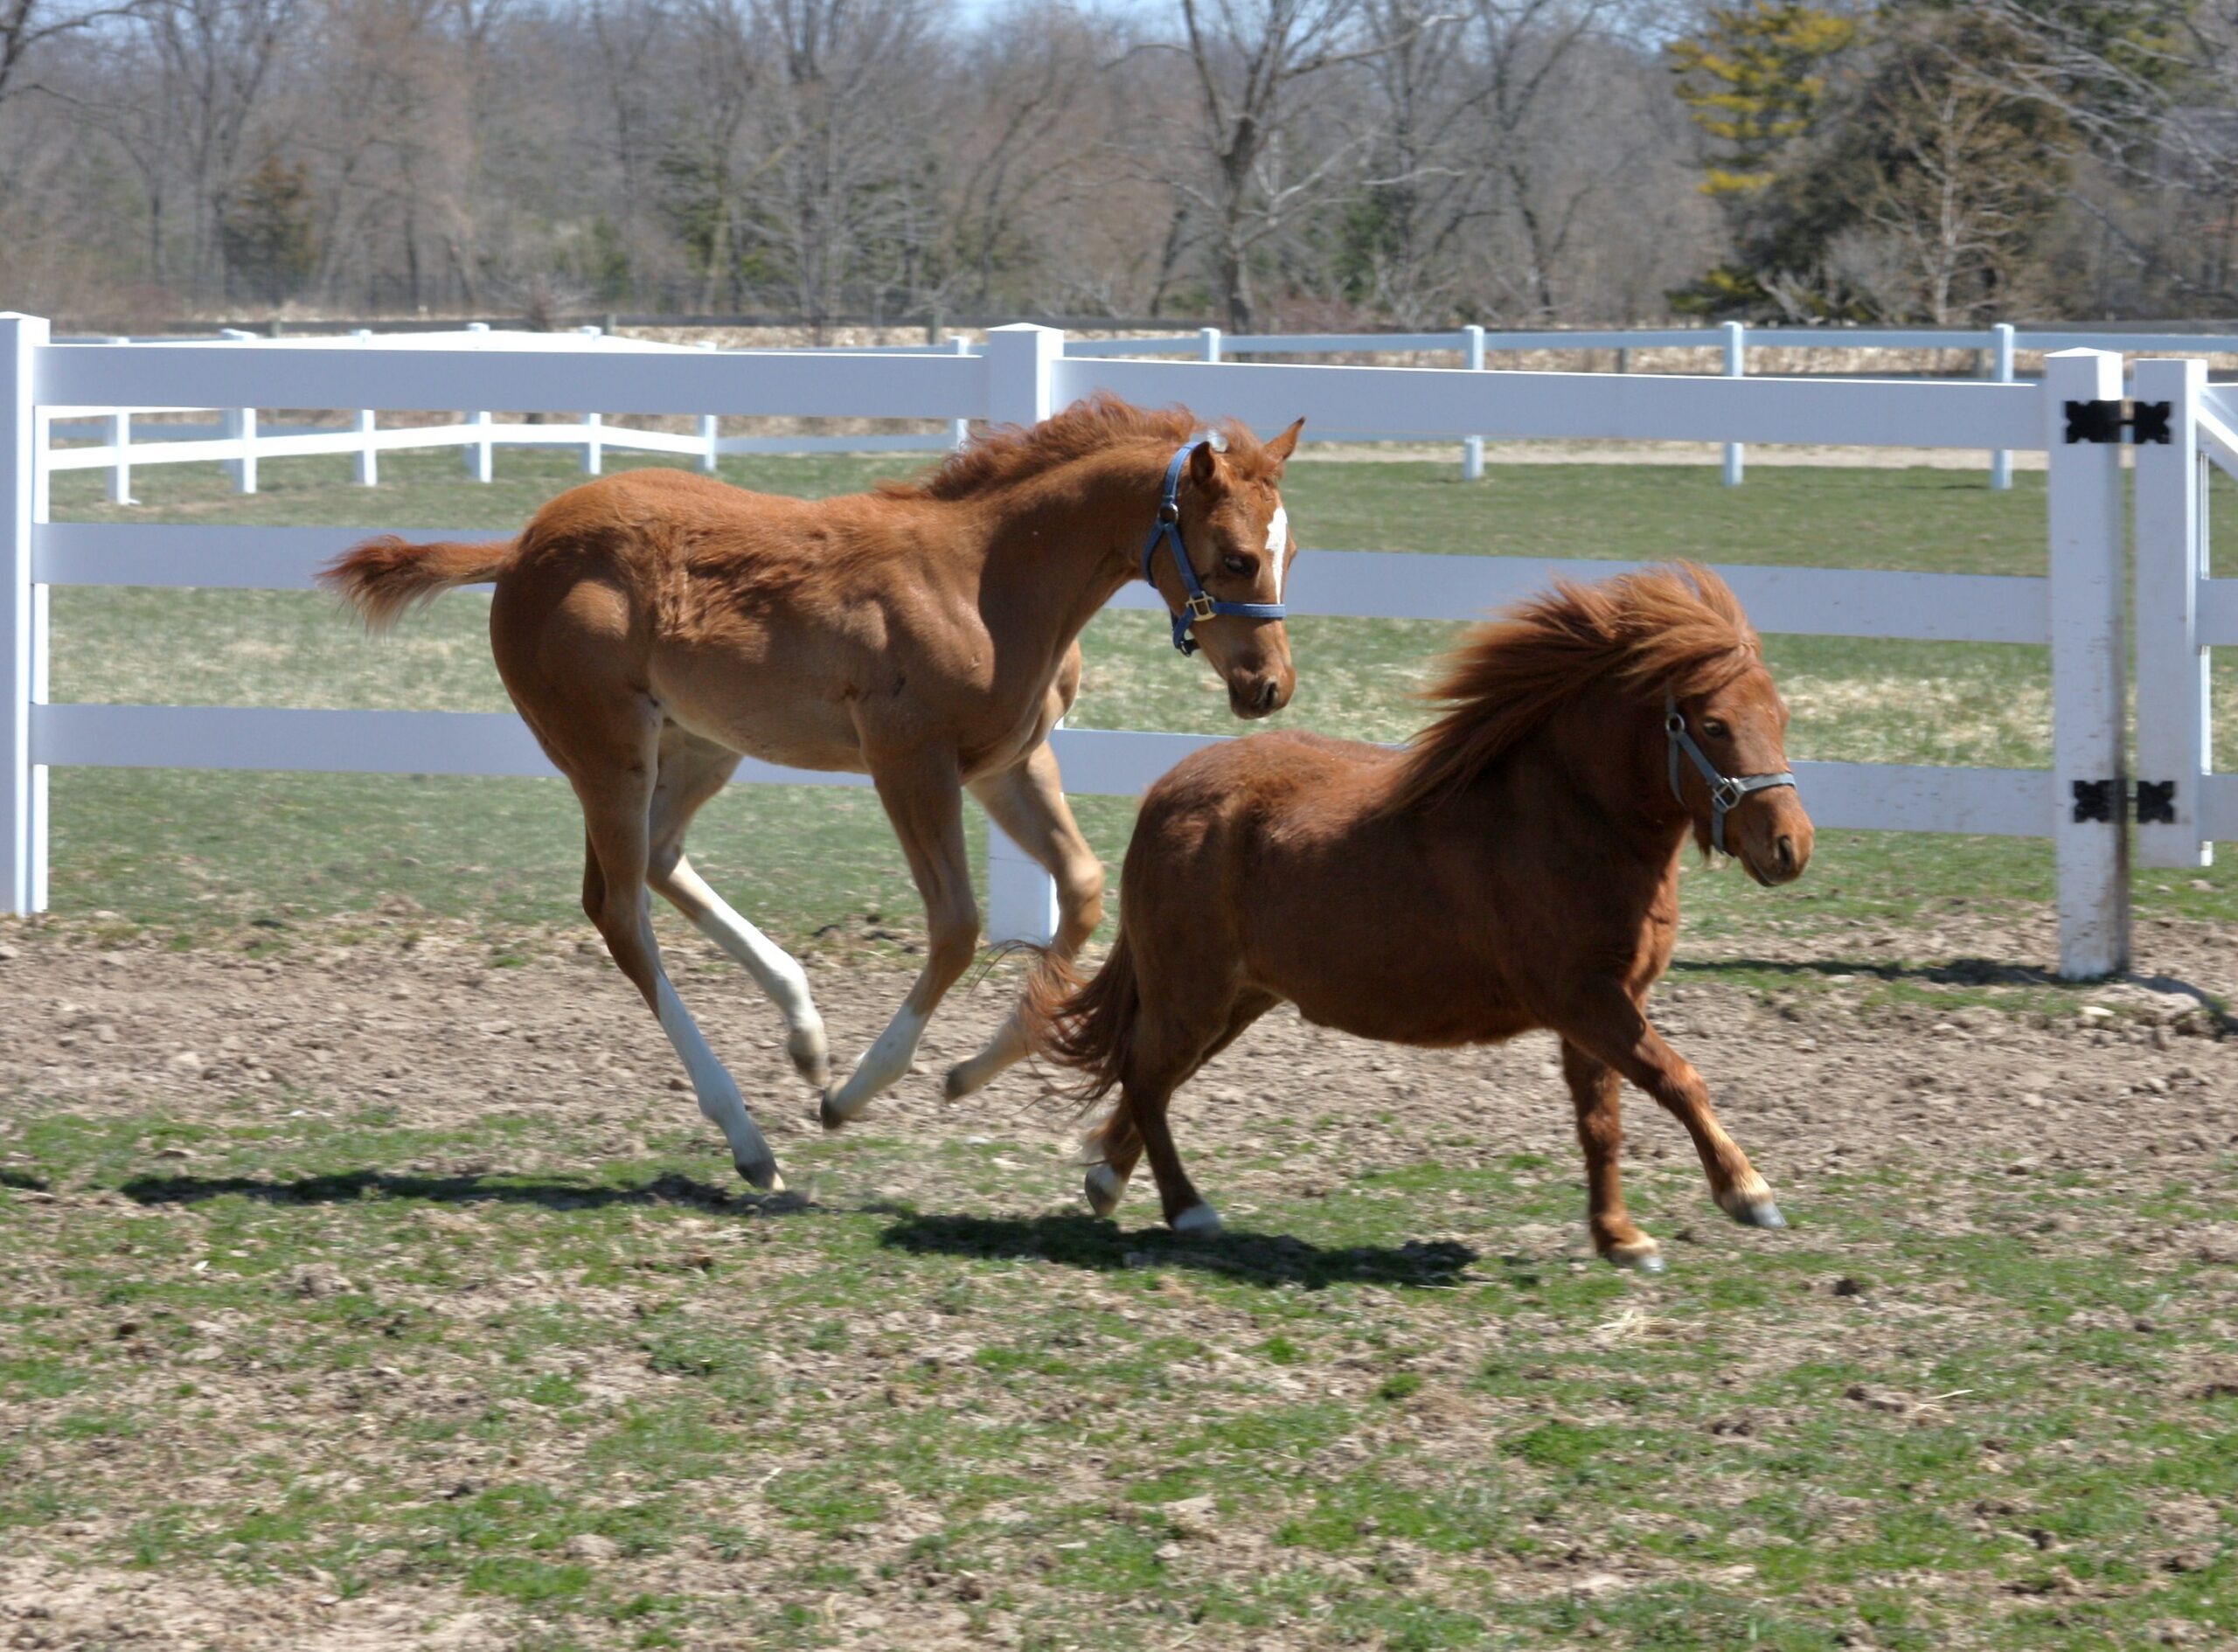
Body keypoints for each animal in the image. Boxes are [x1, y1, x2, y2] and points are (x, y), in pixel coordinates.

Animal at [322, 395, 1306, 1193]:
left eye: (1289, 551)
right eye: (1233, 559)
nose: (1270, 688)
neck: (986, 578)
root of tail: (523, 546)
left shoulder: (1010, 762)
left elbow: (1085, 891)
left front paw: (967, 1073)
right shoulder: (909, 760)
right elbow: (956, 926)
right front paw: (855, 1096)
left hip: (699, 743)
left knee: (658, 862)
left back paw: (803, 1029)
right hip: (608, 750)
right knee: (619, 910)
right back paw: (749, 1138)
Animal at [1021, 563, 1812, 1271]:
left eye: (1781, 717)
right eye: (1714, 724)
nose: (1791, 846)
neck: (1567, 819)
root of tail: (1167, 791)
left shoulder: (1605, 1007)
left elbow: (1601, 1120)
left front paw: (1620, 1237)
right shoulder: (1585, 999)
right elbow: (1677, 1078)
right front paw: (1748, 1193)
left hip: (1237, 999)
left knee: (1150, 1073)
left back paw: (1107, 1179)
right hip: (1196, 992)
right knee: (1147, 1073)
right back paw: (1187, 1209)